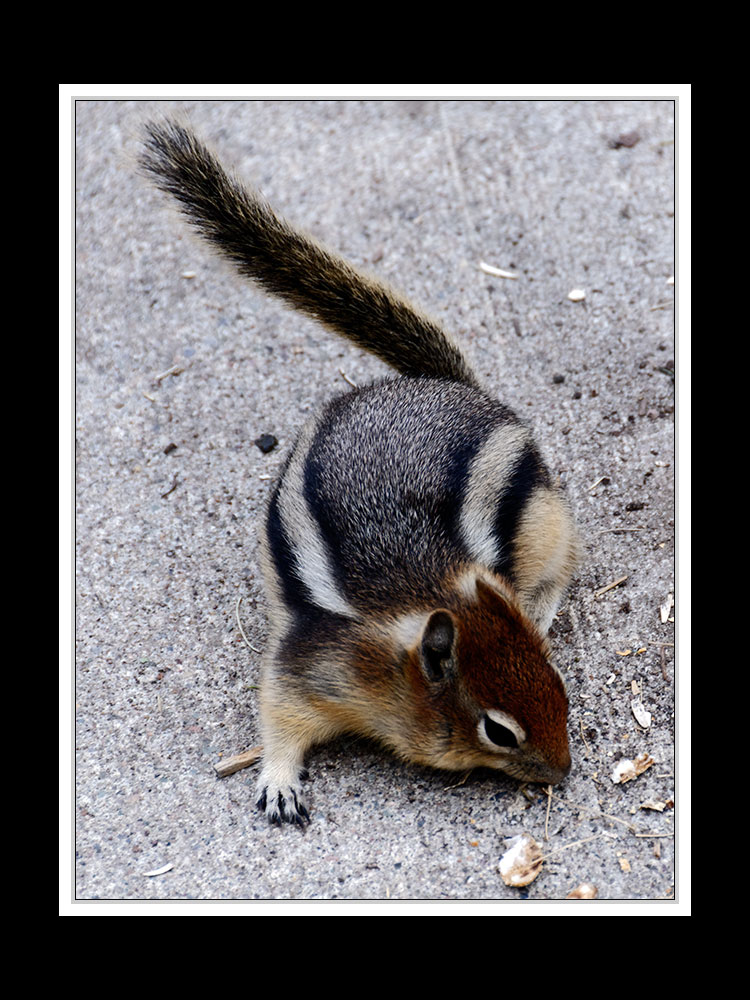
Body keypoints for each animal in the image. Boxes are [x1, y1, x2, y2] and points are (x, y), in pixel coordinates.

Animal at [142, 121, 580, 824]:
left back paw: (538, 605)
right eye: (499, 730)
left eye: (560, 684)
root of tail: (442, 385)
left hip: (544, 517)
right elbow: (278, 716)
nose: (562, 773)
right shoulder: (308, 667)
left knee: (562, 566)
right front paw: (279, 782)